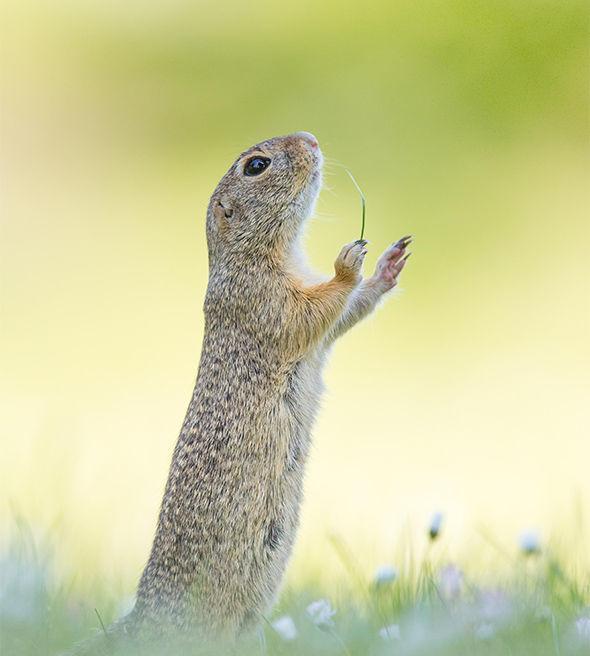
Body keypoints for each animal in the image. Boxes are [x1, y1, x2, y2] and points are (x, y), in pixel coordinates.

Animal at [115, 131, 412, 644]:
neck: (266, 252)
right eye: (256, 166)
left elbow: (342, 316)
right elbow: (311, 312)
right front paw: (348, 263)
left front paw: (387, 266)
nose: (312, 138)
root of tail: (144, 617)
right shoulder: (262, 297)